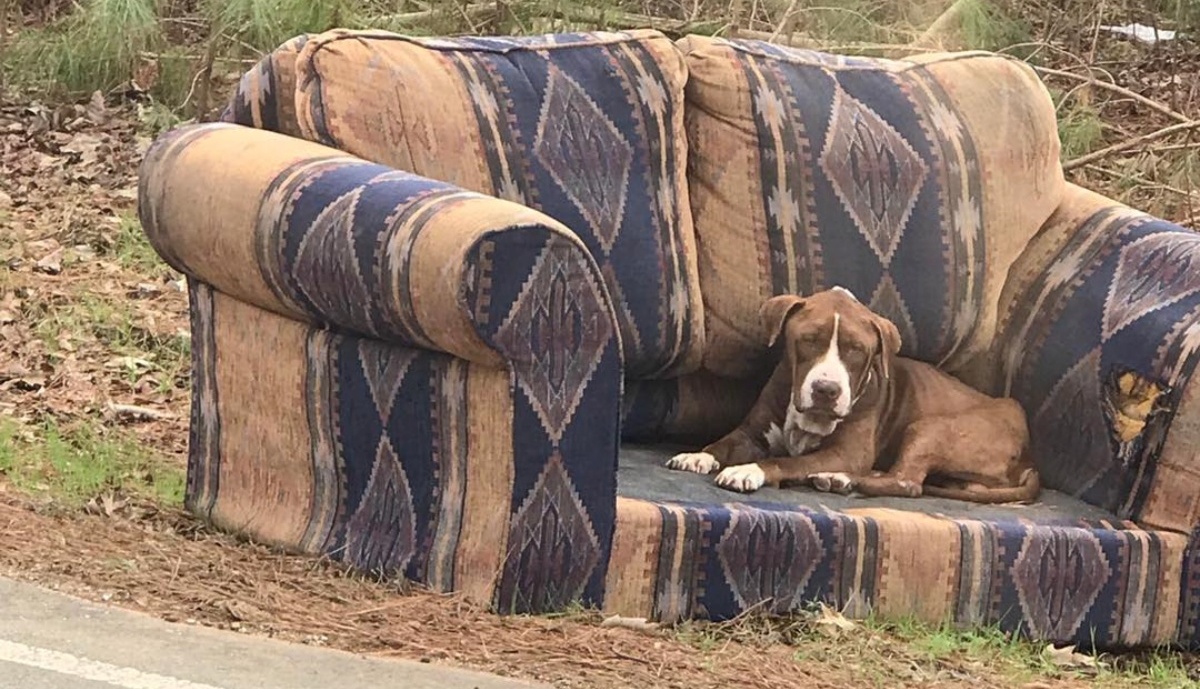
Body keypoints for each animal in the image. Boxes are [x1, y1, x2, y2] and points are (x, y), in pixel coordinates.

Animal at [667, 288, 1041, 508]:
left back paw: (841, 479)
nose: (826, 390)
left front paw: (749, 470)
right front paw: (697, 456)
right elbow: (724, 442)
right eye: (808, 339)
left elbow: (787, 462)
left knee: (908, 482)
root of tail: (1029, 453)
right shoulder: (752, 433)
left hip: (930, 428)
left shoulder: (846, 452)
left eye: (857, 350)